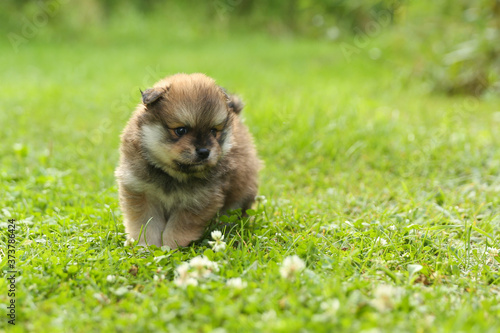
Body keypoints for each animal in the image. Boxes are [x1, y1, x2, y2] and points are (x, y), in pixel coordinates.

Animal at [114, 73, 260, 249]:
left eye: (213, 131)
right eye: (180, 130)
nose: (204, 151)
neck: (172, 175)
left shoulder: (197, 201)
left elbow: (178, 228)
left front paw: (169, 248)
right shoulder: (141, 192)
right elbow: (146, 225)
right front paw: (146, 246)